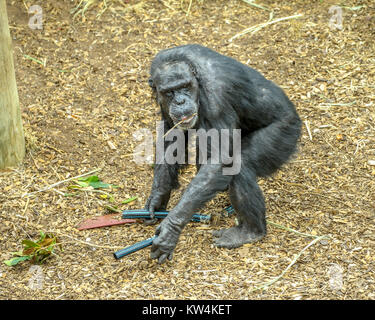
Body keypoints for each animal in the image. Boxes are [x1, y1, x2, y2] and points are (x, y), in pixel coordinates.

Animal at [145, 45, 302, 264]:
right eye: (168, 92)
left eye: (185, 86)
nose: (180, 100)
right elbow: (172, 135)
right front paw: (158, 196)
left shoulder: (217, 98)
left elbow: (221, 159)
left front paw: (171, 228)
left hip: (284, 134)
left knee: (240, 167)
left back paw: (250, 232)